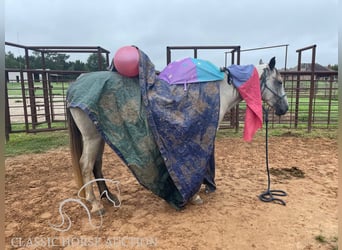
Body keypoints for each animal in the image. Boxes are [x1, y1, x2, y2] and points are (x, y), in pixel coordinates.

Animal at [66, 56, 288, 215]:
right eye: (279, 81)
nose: (284, 109)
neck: (217, 92)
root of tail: (77, 82)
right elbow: (199, 161)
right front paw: (195, 195)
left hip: (100, 134)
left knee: (97, 164)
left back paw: (109, 197)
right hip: (92, 136)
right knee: (86, 164)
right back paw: (96, 205)